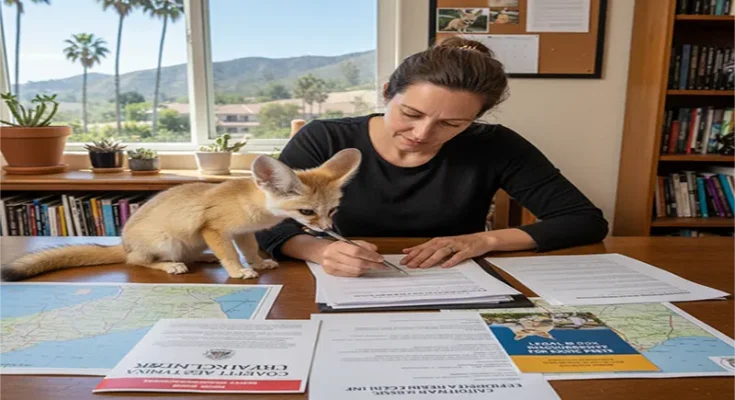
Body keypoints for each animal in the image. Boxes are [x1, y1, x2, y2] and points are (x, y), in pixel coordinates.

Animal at [0, 148, 362, 281]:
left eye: (332, 210)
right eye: (306, 212)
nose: (328, 229)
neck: (253, 207)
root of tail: (124, 242)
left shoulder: (242, 232)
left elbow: (247, 249)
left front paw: (258, 263)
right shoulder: (215, 229)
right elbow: (231, 253)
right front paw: (239, 271)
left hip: (193, 242)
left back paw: (201, 259)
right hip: (167, 242)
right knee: (136, 262)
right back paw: (169, 266)